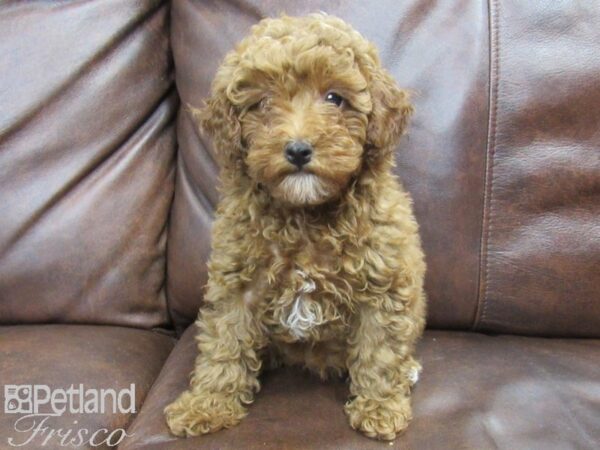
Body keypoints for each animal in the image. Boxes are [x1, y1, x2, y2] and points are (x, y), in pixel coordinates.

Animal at [164, 13, 426, 440]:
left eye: (334, 98)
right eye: (262, 103)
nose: (298, 150)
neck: (305, 215)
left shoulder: (382, 284)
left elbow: (381, 349)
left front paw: (380, 407)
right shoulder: (237, 280)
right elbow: (224, 341)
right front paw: (208, 403)